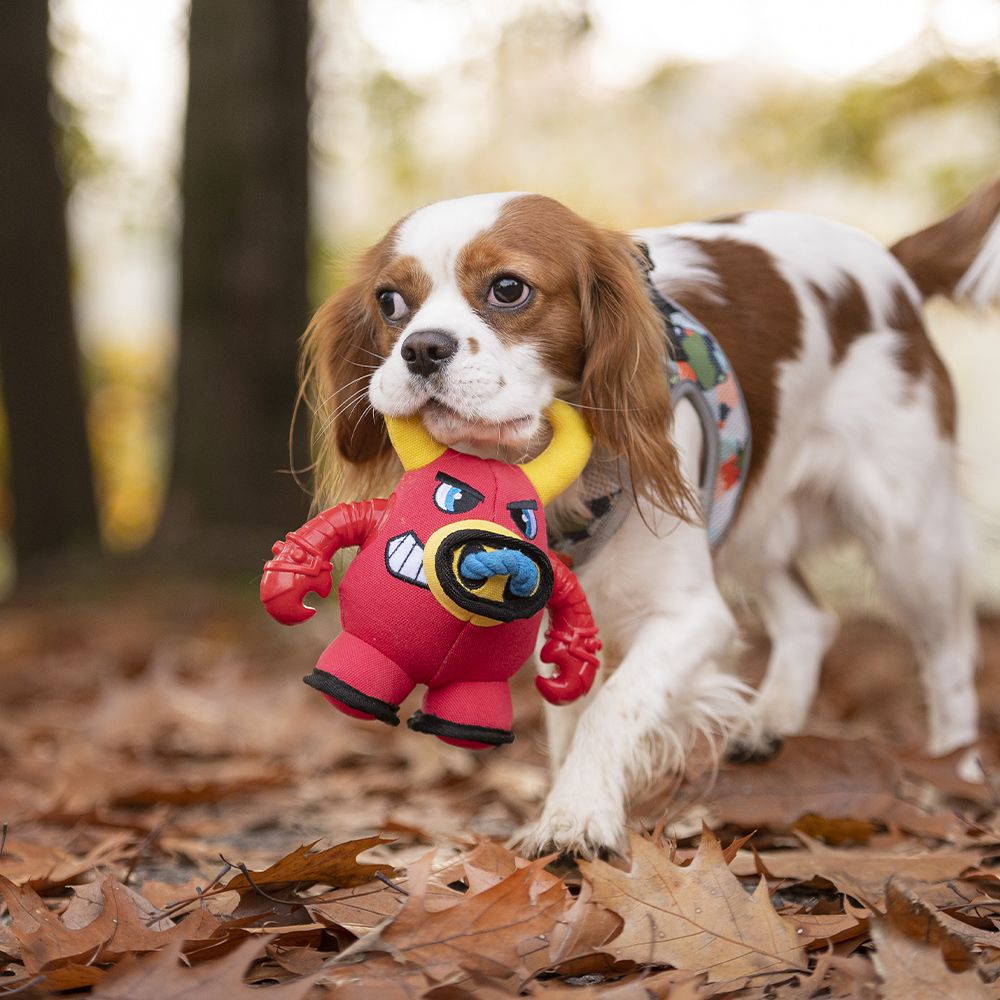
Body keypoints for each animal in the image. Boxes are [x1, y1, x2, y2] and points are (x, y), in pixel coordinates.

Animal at [304, 184, 1000, 856]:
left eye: (508, 288)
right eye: (389, 301)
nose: (421, 348)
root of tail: (890, 263)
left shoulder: (691, 615)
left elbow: (613, 705)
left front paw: (579, 816)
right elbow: (570, 715)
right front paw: (565, 807)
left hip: (908, 533)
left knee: (949, 657)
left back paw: (953, 777)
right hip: (749, 512)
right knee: (810, 617)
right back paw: (767, 722)